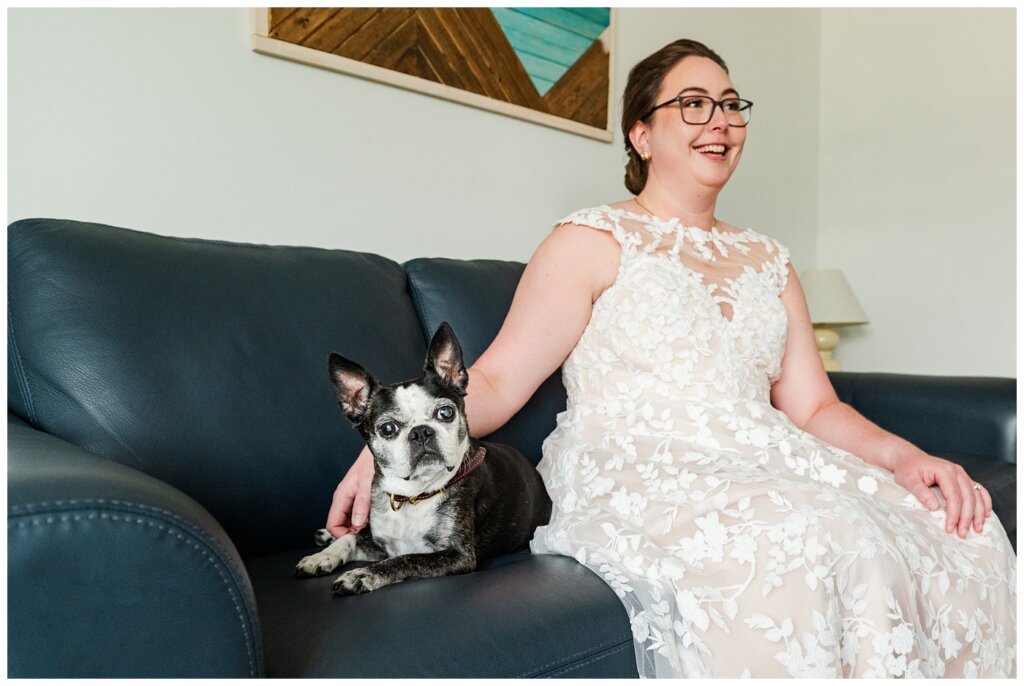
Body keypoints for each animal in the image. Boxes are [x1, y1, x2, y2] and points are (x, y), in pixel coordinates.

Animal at [296, 323, 552, 597]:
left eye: (446, 412)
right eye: (387, 429)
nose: (421, 432)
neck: (413, 495)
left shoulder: (457, 555)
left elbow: (405, 559)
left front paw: (362, 574)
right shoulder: (381, 541)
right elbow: (350, 538)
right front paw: (320, 557)